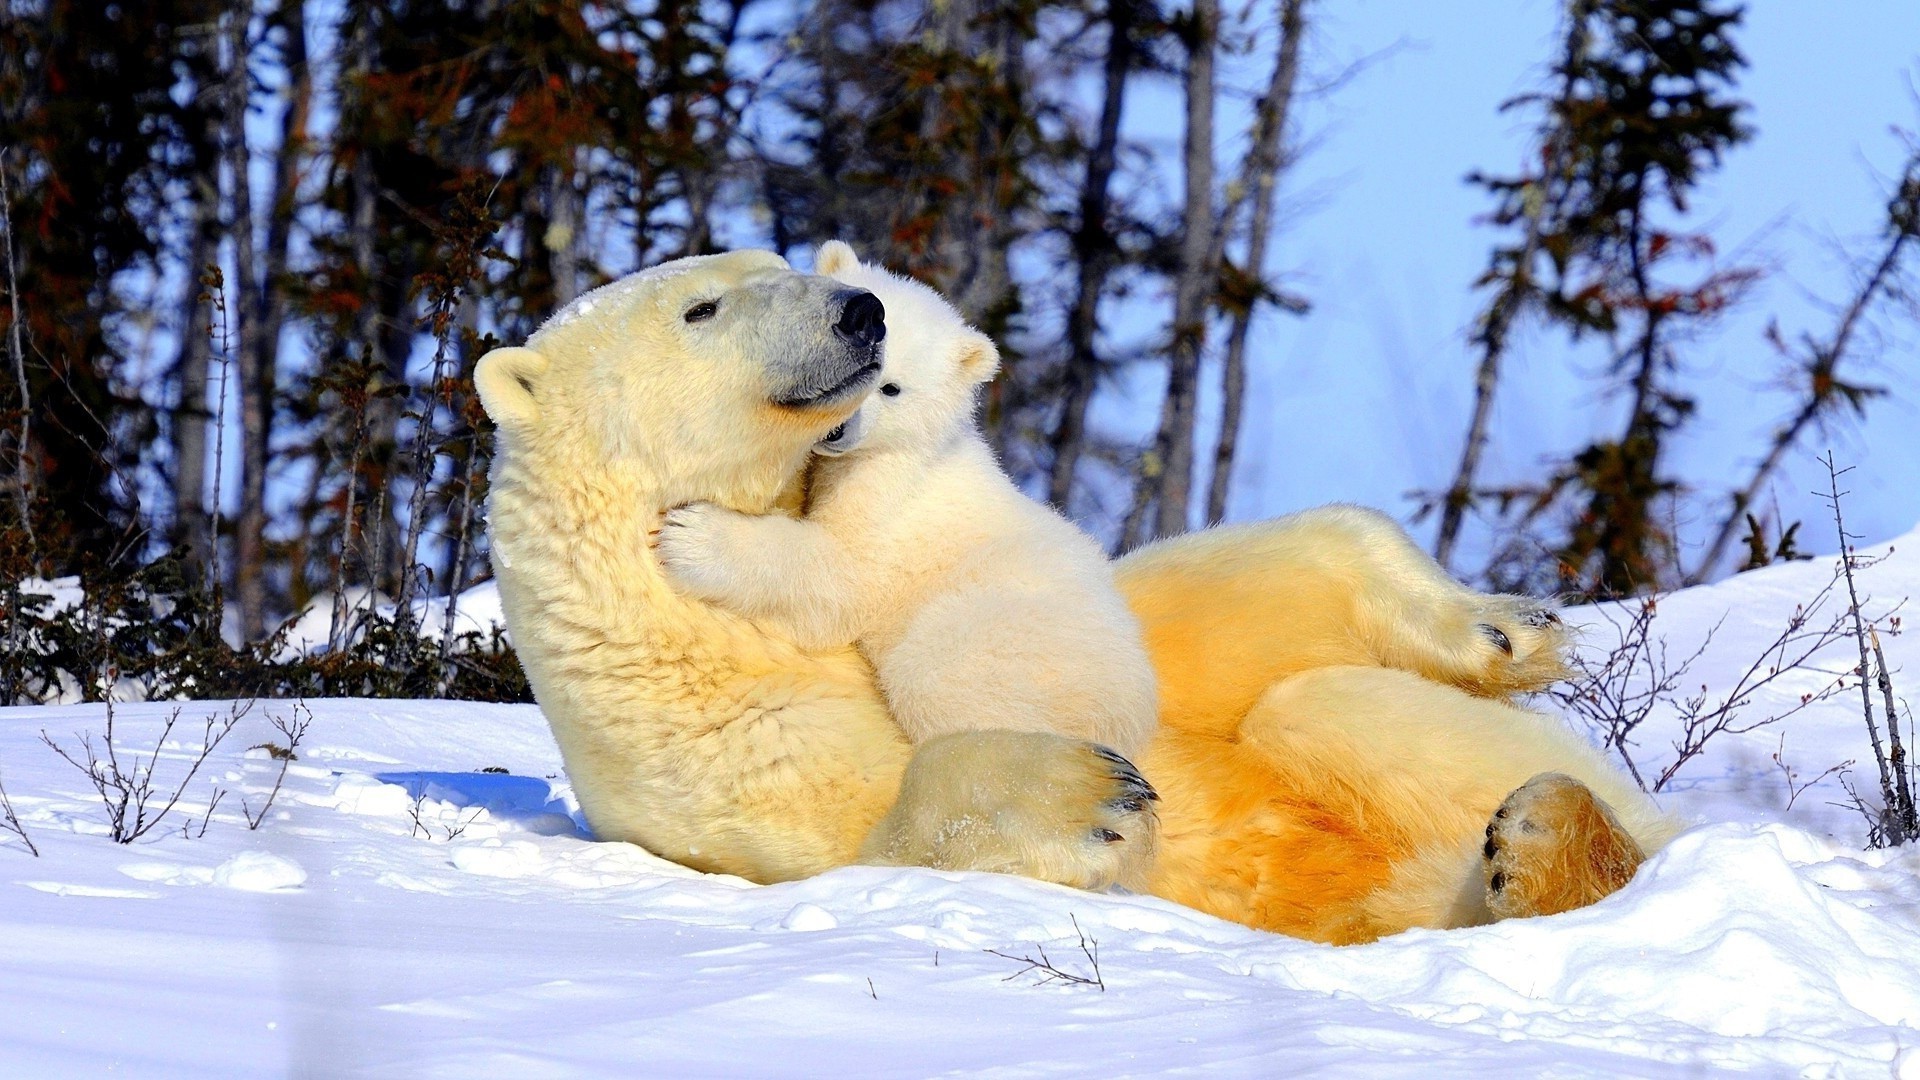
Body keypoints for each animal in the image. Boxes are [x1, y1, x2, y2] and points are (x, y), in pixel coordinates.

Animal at [652, 239, 1159, 753]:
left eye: (891, 388)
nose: (836, 429)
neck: (915, 446)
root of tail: (1130, 716)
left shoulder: (889, 493)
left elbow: (843, 572)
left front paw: (692, 535)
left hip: (999, 636)